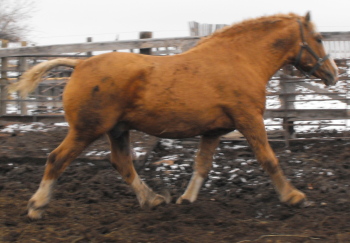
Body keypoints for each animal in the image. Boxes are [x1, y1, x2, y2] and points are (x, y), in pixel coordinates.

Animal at [8, 12, 338, 219]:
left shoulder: (213, 131)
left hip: (118, 130)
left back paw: (151, 199)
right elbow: (268, 159)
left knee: (122, 163)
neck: (240, 60)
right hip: (86, 130)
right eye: (319, 37)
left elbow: (202, 166)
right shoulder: (249, 120)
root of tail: (79, 65)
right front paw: (293, 196)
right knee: (57, 159)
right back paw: (37, 206)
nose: (334, 74)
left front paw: (186, 199)